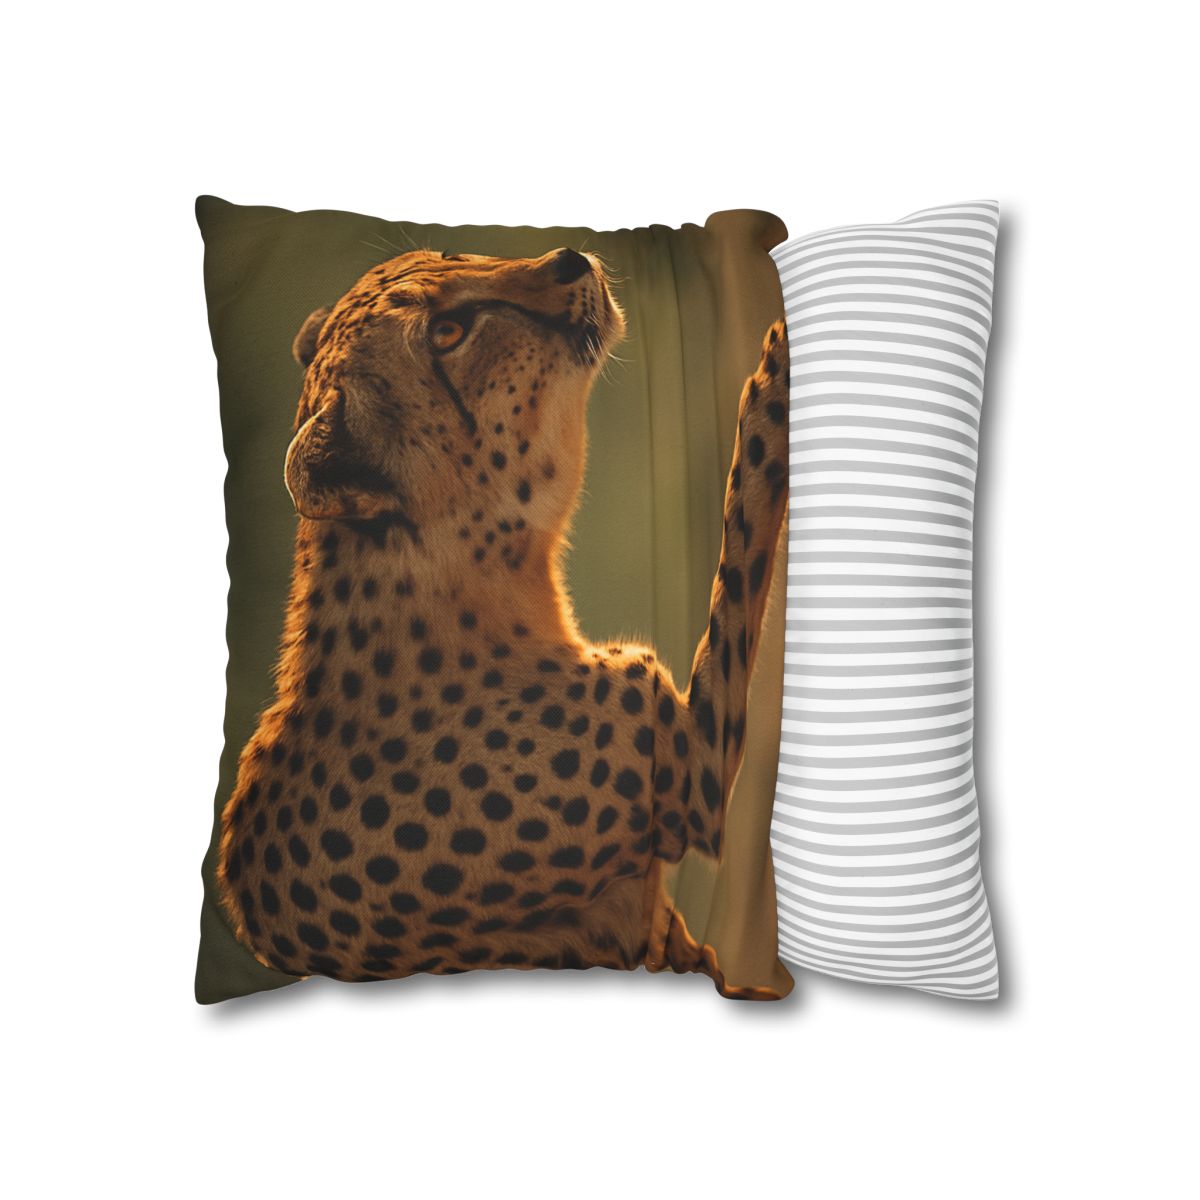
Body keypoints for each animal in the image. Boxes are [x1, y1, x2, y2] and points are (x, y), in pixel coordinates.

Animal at [217, 245, 790, 996]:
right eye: (446, 334)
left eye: (448, 254)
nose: (570, 259)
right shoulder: (691, 790)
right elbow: (742, 536)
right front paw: (775, 379)